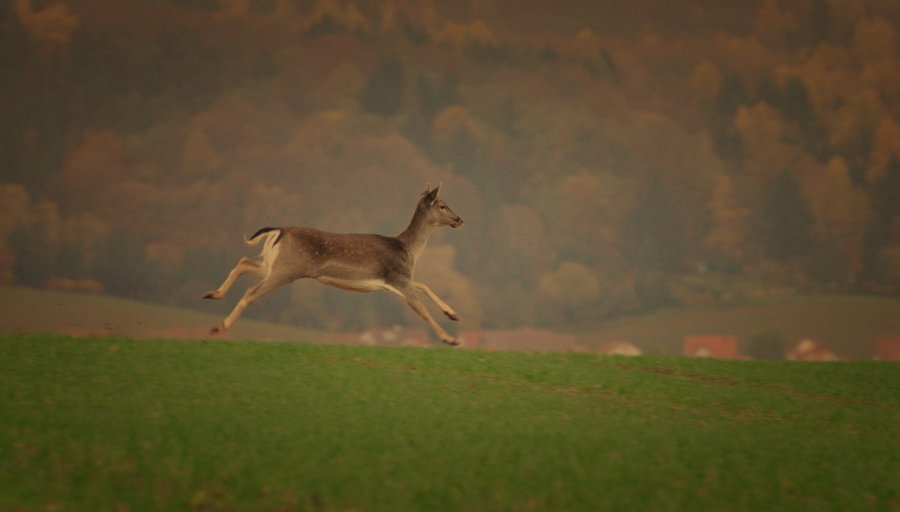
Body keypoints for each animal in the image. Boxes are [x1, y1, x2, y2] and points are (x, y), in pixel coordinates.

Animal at [203, 183, 464, 344]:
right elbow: (422, 309)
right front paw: (450, 339)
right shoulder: (399, 279)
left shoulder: (398, 281)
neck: (408, 249)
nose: (460, 219)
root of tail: (279, 231)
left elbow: (425, 286)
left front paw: (452, 314)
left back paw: (212, 294)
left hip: (275, 265)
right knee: (251, 291)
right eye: (442, 205)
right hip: (287, 268)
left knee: (245, 261)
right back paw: (219, 326)